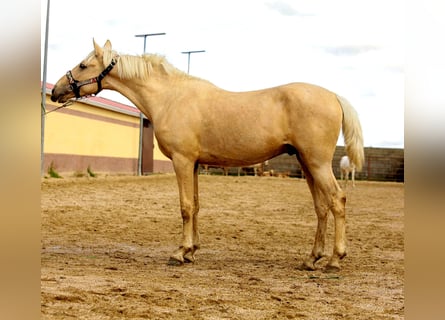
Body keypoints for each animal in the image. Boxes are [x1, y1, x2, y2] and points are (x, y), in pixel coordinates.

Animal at [53, 38, 364, 272]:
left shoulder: (182, 161)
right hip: (306, 163)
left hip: (317, 162)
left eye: (83, 65)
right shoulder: (194, 164)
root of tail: (333, 96)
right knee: (321, 207)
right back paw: (312, 259)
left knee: (337, 200)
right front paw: (192, 251)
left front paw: (180, 253)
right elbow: (197, 205)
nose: (56, 90)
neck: (170, 97)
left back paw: (335, 260)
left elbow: (185, 206)